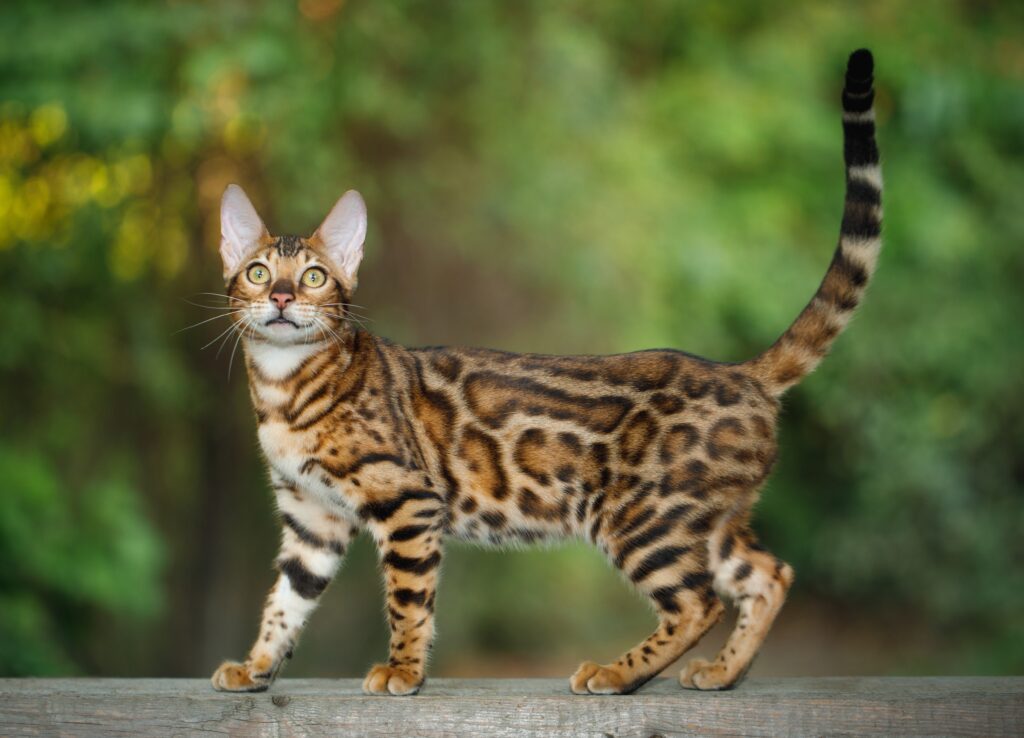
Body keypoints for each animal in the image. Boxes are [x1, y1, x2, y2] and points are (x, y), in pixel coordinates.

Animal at [207, 48, 880, 691]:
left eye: (315, 276)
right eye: (258, 272)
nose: (283, 297)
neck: (284, 386)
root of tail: (743, 374)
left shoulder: (409, 501)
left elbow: (408, 601)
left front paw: (404, 670)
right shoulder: (311, 519)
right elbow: (285, 602)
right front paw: (256, 666)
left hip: (641, 521)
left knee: (699, 603)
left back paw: (617, 673)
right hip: (705, 520)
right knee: (769, 574)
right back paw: (721, 673)